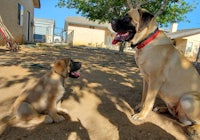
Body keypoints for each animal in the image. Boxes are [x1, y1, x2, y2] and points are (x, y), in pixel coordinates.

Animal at [111, 8, 200, 136]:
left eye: (127, 19)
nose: (112, 20)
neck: (147, 41)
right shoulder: (146, 79)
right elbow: (144, 96)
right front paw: (140, 107)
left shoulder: (155, 81)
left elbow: (149, 100)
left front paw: (141, 115)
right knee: (175, 114)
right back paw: (162, 108)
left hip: (187, 99)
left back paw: (194, 129)